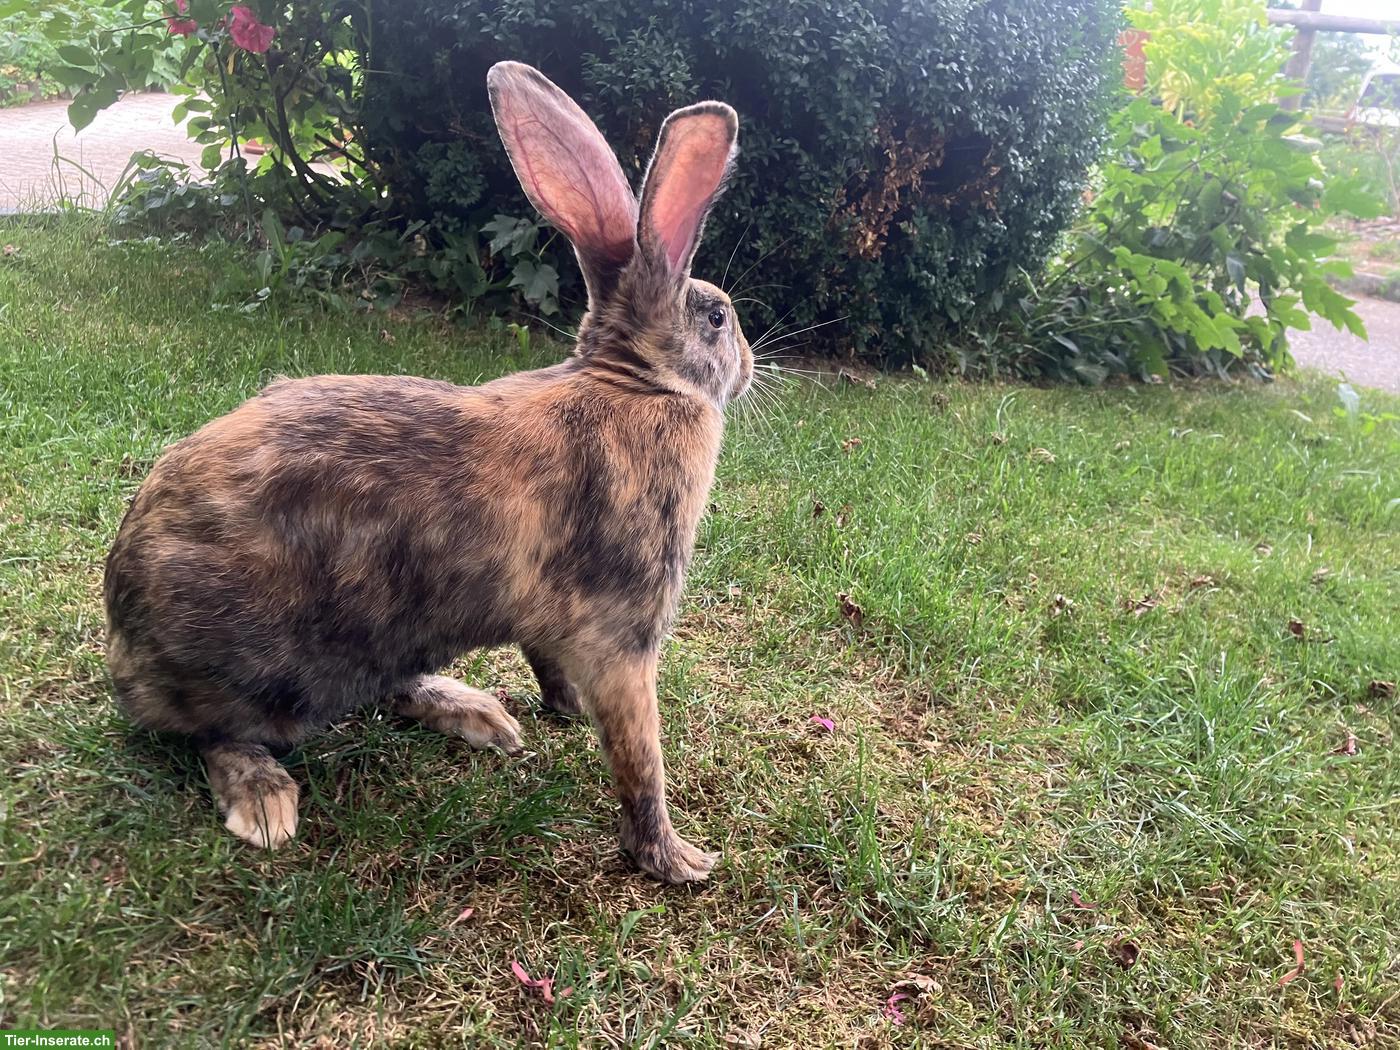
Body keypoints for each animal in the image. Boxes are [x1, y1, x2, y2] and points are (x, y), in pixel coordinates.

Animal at [102, 60, 751, 884]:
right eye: (718, 318)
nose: (751, 362)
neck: (639, 384)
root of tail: (123, 639)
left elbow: (552, 665)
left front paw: (563, 712)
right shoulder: (625, 636)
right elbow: (640, 758)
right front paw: (678, 860)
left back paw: (479, 715)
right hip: (267, 672)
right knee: (215, 733)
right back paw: (266, 800)